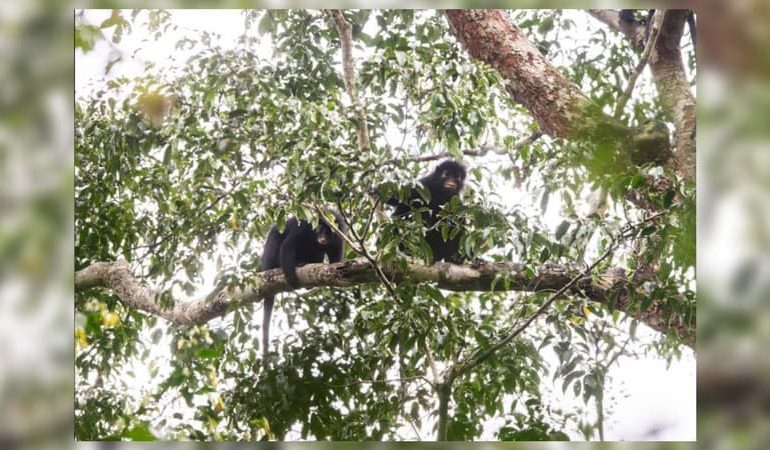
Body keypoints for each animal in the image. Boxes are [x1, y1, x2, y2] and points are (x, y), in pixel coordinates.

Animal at [259, 211, 345, 358]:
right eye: (321, 229)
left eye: (329, 232)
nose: (323, 237)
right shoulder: (304, 227)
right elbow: (288, 245)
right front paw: (291, 278)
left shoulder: (338, 236)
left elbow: (335, 260)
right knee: (276, 238)